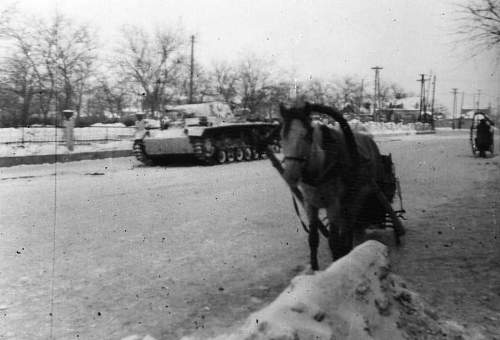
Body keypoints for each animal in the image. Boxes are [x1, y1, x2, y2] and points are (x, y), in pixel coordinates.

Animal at [280, 102, 404, 270]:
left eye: (307, 136)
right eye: (282, 135)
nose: (290, 176)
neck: (321, 167)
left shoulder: (333, 205)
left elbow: (333, 240)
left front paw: (336, 261)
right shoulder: (310, 205)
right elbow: (313, 239)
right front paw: (314, 268)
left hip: (357, 196)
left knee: (349, 225)